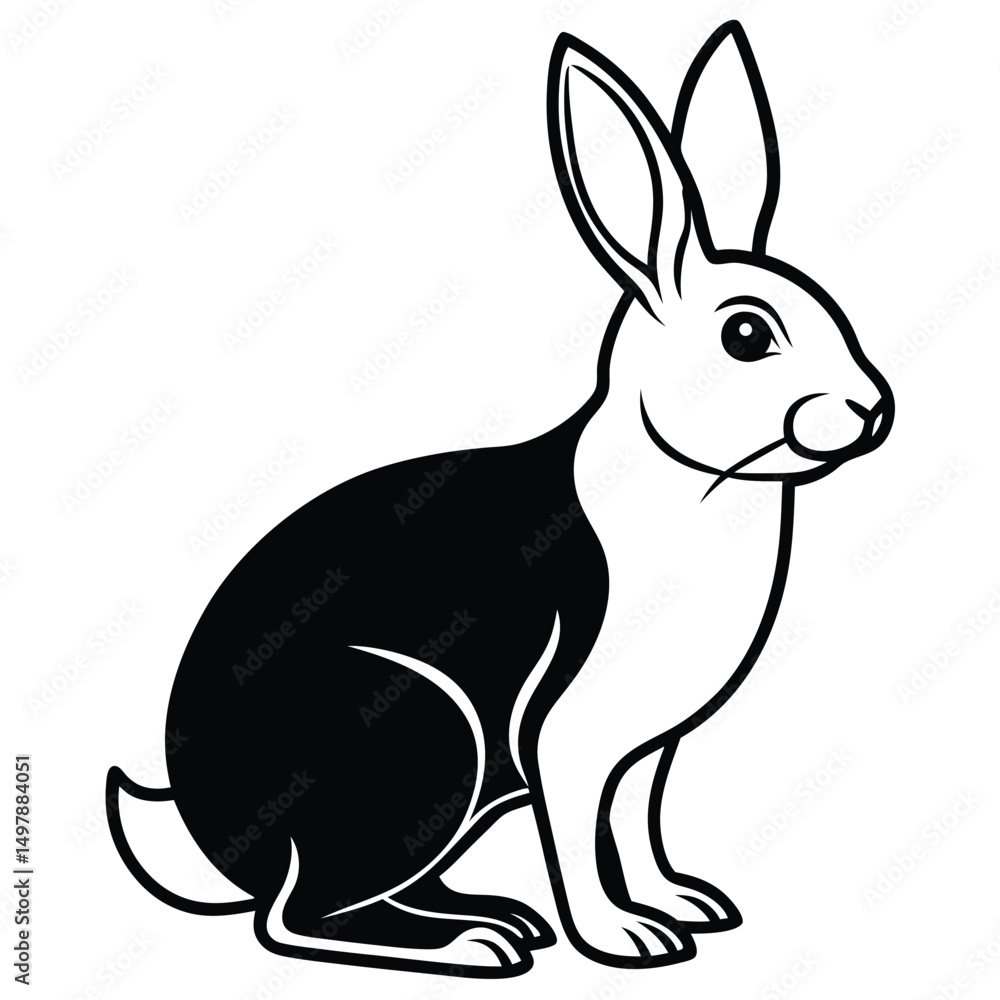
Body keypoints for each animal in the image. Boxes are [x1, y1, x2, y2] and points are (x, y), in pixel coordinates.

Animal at [108, 22, 893, 978]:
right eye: (747, 335)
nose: (873, 408)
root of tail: (206, 833)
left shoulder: (649, 750)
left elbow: (638, 824)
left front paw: (686, 906)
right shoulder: (564, 739)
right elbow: (582, 841)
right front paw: (627, 939)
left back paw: (497, 919)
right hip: (422, 737)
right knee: (295, 918)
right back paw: (477, 944)